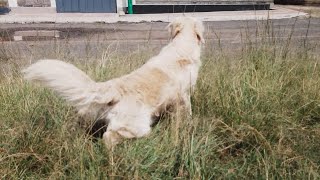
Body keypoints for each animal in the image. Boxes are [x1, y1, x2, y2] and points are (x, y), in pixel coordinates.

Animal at [24, 16, 205, 146]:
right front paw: (189, 123)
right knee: (109, 137)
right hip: (135, 126)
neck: (181, 47)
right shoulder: (184, 96)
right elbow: (187, 112)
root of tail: (114, 87)